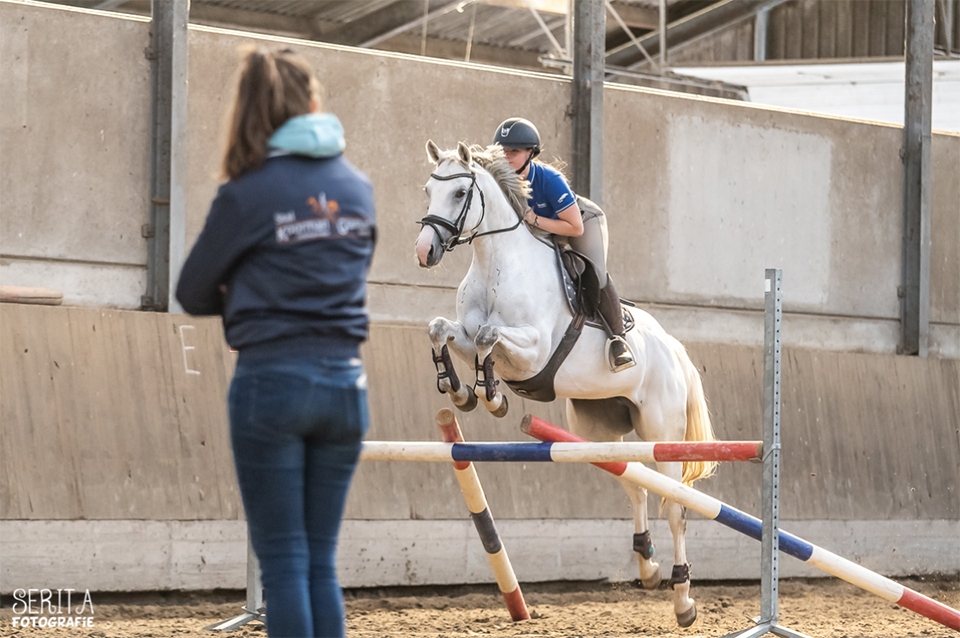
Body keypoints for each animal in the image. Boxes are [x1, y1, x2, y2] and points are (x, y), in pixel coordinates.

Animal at [416, 141, 716, 632]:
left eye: (460, 193)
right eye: (428, 190)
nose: (424, 251)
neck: (497, 264)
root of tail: (673, 348)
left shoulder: (534, 349)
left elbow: (488, 337)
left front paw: (490, 394)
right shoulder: (465, 331)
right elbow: (441, 328)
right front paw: (458, 389)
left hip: (661, 431)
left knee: (675, 507)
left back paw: (683, 599)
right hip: (598, 430)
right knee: (635, 486)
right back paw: (648, 567)